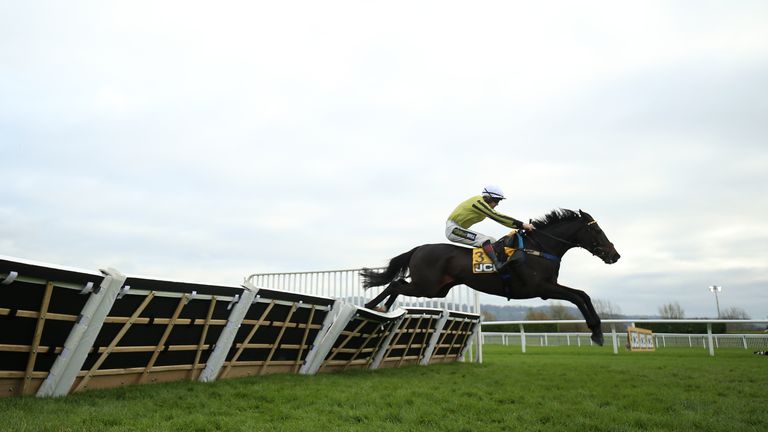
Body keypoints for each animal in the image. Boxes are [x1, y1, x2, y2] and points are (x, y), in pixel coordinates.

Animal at [360, 208, 616, 346]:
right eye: (596, 230)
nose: (615, 255)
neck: (540, 248)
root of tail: (419, 248)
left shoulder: (550, 285)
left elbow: (583, 295)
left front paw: (597, 330)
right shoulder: (541, 288)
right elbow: (577, 298)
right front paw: (596, 331)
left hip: (436, 289)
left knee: (398, 284)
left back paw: (383, 309)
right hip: (426, 286)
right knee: (395, 284)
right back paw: (374, 306)